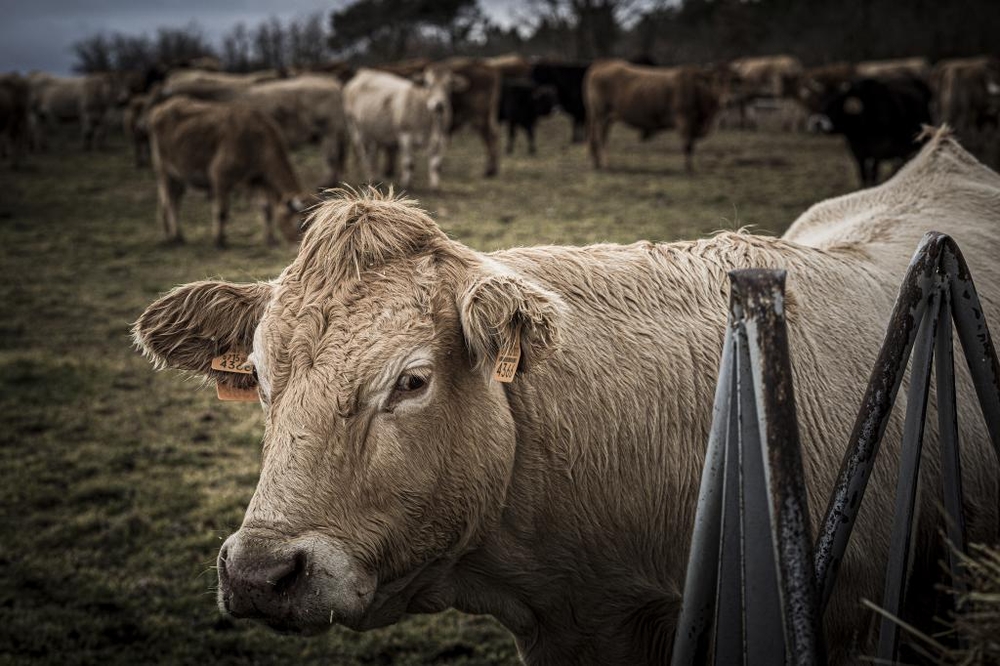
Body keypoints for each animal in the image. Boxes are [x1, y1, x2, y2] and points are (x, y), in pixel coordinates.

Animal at [147, 94, 304, 246]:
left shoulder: (258, 180)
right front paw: (219, 240)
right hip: (164, 170)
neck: (258, 139)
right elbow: (222, 211)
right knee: (169, 202)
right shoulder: (220, 176)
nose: (298, 247)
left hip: (178, 176)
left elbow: (267, 209)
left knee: (170, 201)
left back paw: (171, 234)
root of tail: (160, 108)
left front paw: (271, 239)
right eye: (299, 224)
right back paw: (175, 237)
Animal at [584, 58, 720, 171]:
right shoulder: (685, 120)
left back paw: (597, 163)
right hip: (601, 116)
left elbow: (690, 144)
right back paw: (604, 164)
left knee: (596, 138)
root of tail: (601, 64)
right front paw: (688, 168)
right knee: (601, 138)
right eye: (717, 81)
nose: (725, 101)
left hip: (603, 118)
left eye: (727, 81)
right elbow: (688, 145)